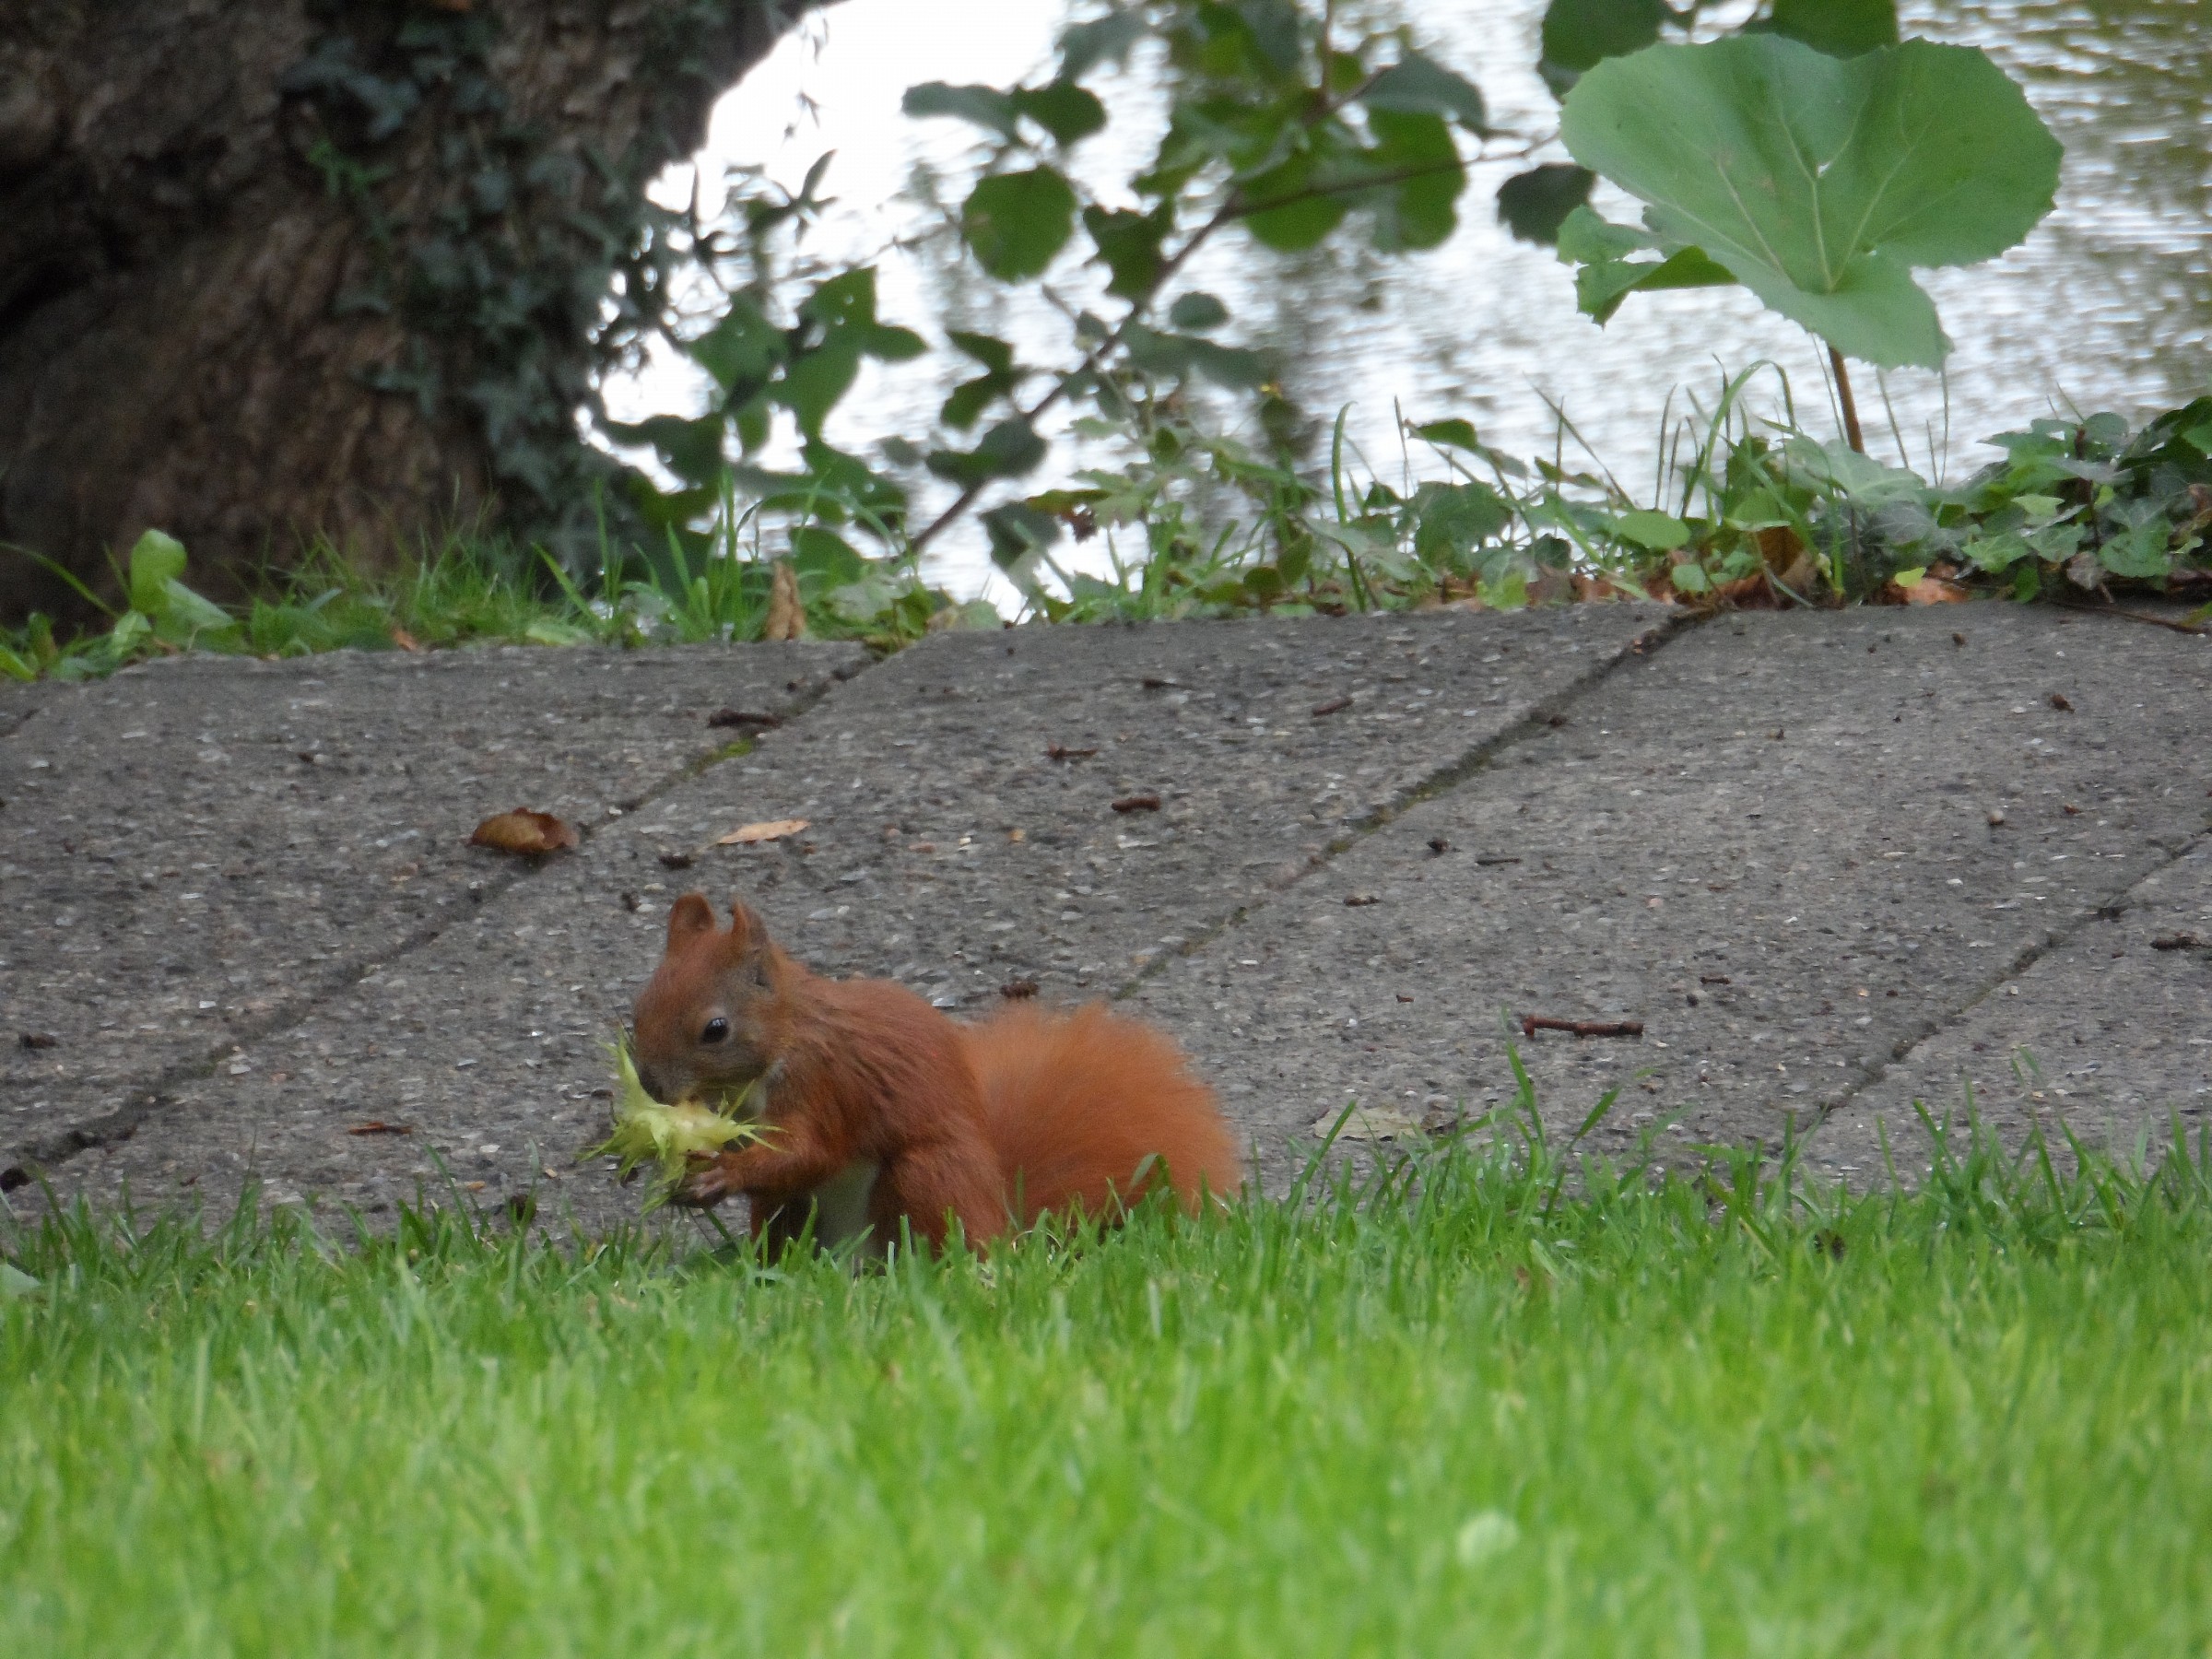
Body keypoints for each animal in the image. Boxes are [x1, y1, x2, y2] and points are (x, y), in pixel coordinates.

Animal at [630, 893, 1240, 1253]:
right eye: (639, 1008)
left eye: (715, 1029)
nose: (653, 1088)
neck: (784, 1037)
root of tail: (1001, 1221)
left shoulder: (824, 1082)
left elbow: (808, 1150)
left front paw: (720, 1174)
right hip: (791, 1209)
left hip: (927, 1177)